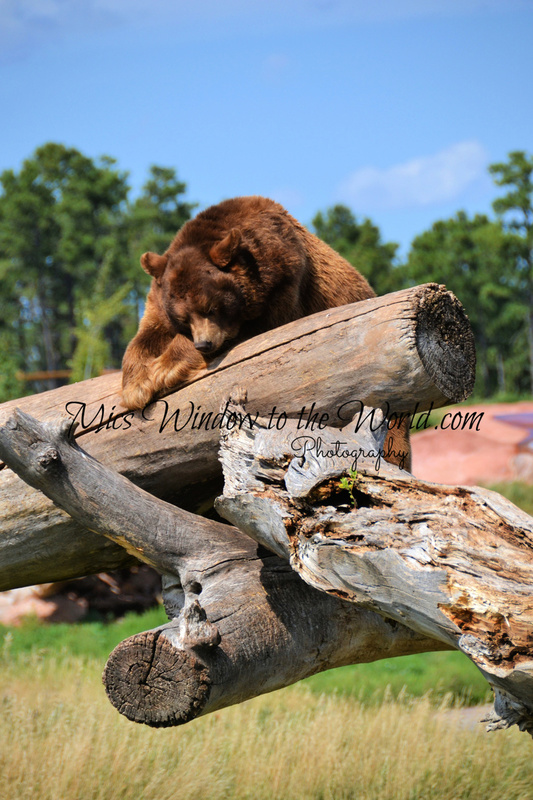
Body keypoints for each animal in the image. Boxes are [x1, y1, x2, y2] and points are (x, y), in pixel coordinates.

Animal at [121, 195, 410, 468]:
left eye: (211, 308)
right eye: (183, 316)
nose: (204, 344)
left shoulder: (284, 286)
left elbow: (252, 329)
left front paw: (162, 369)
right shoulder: (160, 300)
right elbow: (148, 333)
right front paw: (135, 386)